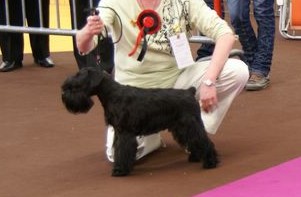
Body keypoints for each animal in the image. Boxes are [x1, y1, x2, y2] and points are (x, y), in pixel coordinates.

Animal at [61, 67, 218, 176]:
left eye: (77, 85)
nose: (63, 94)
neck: (112, 94)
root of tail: (189, 92)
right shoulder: (118, 132)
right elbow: (118, 150)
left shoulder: (125, 133)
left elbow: (123, 150)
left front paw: (120, 170)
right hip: (181, 128)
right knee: (194, 141)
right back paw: (195, 157)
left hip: (190, 124)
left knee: (203, 141)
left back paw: (210, 162)